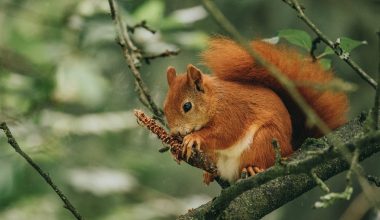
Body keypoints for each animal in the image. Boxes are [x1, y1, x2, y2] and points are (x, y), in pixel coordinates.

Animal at [163, 37, 348, 184]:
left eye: (187, 106)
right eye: (164, 108)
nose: (176, 132)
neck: (215, 100)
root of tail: (291, 147)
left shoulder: (233, 112)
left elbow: (225, 133)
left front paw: (194, 137)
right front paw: (174, 148)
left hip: (266, 139)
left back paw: (253, 168)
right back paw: (209, 174)